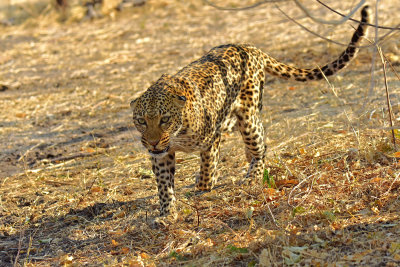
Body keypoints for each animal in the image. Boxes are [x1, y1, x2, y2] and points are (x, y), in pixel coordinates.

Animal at [130, 5, 370, 220]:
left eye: (165, 119)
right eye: (141, 121)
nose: (152, 142)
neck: (178, 133)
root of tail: (247, 47)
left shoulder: (211, 138)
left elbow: (208, 165)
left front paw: (203, 186)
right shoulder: (162, 155)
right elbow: (164, 185)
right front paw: (167, 213)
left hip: (248, 117)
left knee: (261, 146)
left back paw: (251, 176)